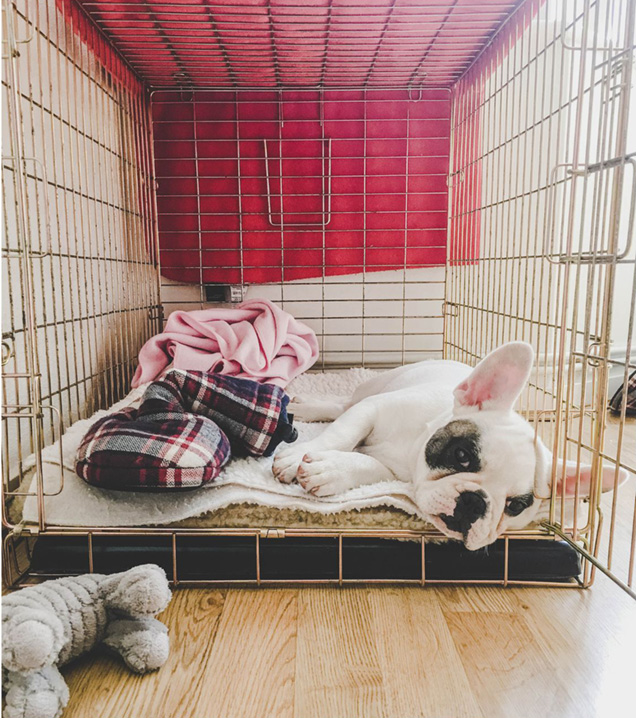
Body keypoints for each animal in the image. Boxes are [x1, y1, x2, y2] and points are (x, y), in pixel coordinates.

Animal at [272, 344, 628, 552]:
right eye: (462, 455)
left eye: (516, 506)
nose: (474, 503)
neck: (412, 449)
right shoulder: (371, 409)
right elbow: (342, 432)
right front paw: (295, 458)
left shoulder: (394, 471)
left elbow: (367, 466)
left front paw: (330, 471)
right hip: (372, 388)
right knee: (342, 406)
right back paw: (307, 407)